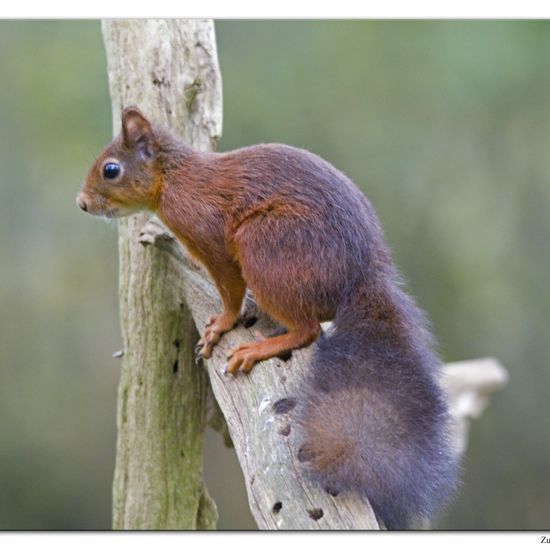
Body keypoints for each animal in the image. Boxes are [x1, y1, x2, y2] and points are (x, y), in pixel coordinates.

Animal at [75, 106, 460, 532]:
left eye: (111, 169)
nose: (82, 203)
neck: (175, 180)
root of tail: (360, 276)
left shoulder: (212, 240)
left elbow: (229, 292)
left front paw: (220, 325)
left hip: (265, 245)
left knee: (307, 329)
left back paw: (259, 348)